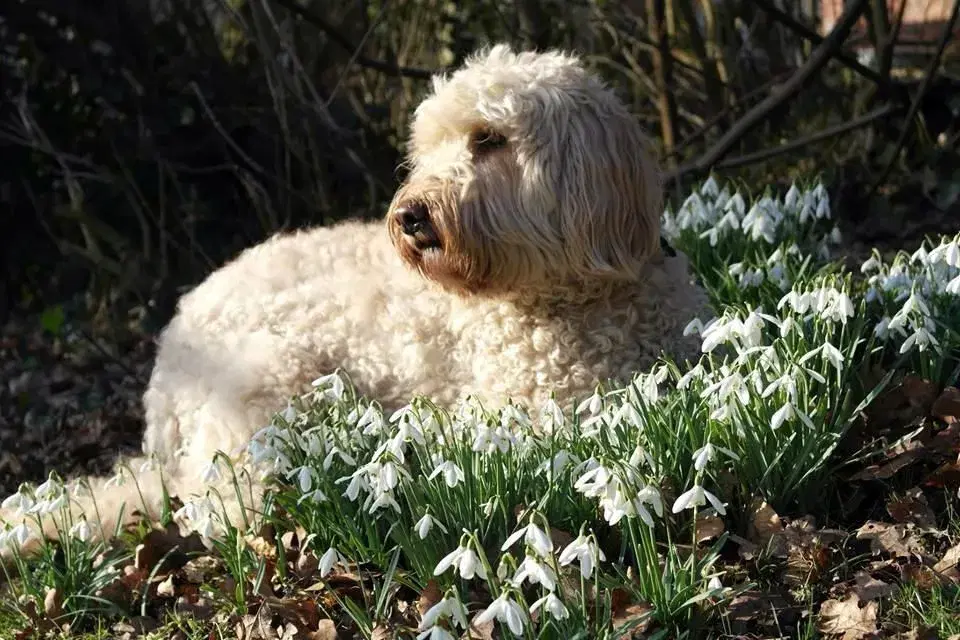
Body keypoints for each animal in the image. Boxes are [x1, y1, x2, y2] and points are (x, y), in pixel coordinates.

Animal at [1, 45, 704, 552]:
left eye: (489, 139)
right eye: (427, 148)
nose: (411, 215)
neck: (570, 295)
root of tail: (161, 390)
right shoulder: (524, 411)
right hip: (269, 383)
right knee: (222, 505)